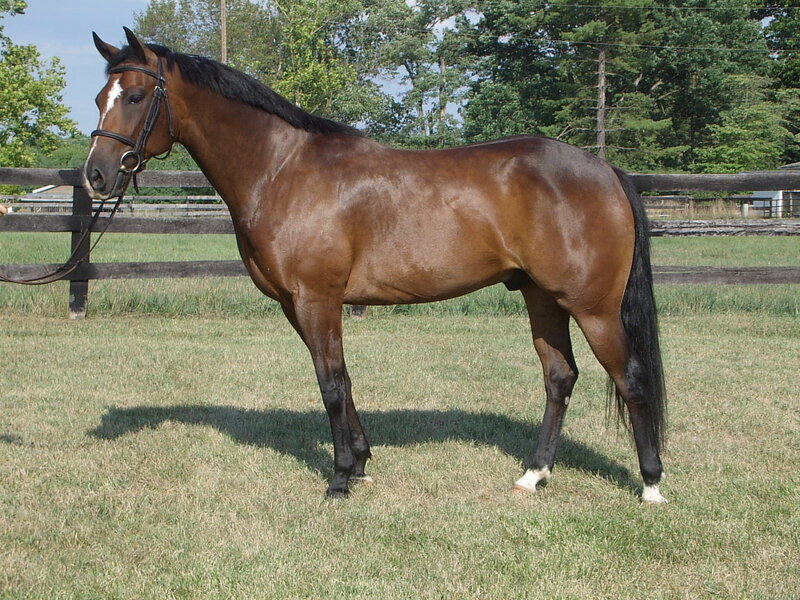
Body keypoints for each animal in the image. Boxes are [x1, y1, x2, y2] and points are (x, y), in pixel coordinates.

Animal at [85, 28, 667, 503]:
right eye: (98, 98)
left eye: (135, 96)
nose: (96, 175)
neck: (282, 170)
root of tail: (605, 170)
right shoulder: (299, 306)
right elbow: (341, 379)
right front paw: (362, 465)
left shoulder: (317, 299)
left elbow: (330, 384)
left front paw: (340, 478)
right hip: (542, 297)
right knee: (559, 377)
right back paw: (534, 474)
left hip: (593, 308)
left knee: (631, 378)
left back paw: (651, 485)